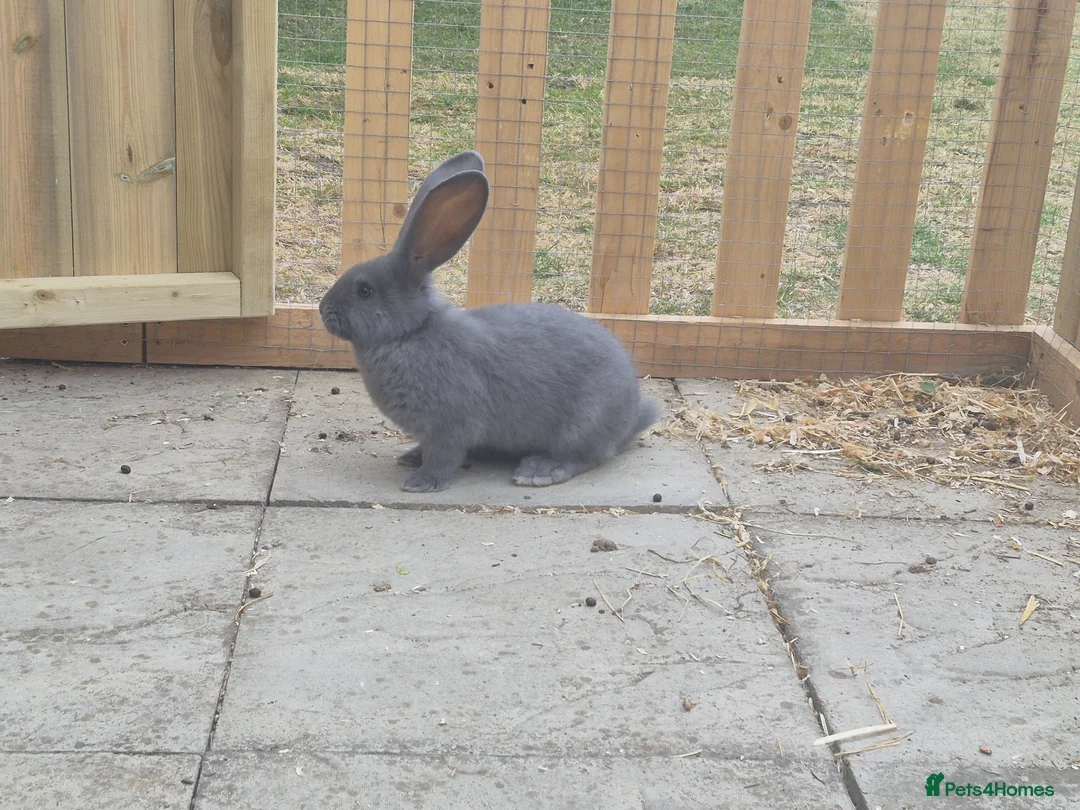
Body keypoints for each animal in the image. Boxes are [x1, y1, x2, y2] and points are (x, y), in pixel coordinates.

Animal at [318, 150, 661, 493]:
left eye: (364, 291)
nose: (323, 309)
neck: (412, 332)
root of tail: (633, 414)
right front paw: (411, 458)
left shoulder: (450, 426)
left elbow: (443, 458)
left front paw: (421, 483)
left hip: (584, 423)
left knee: (587, 457)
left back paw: (538, 470)